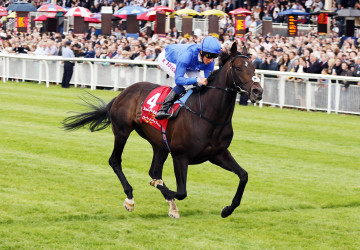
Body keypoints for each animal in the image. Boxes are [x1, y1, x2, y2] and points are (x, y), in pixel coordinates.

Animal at [63, 42, 262, 219]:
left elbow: (243, 176)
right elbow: (181, 192)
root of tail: (123, 92)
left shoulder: (218, 154)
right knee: (115, 161)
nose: (257, 91)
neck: (207, 115)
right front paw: (162, 191)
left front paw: (227, 209)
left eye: (253, 67)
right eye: (238, 68)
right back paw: (130, 198)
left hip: (159, 144)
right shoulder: (180, 156)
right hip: (122, 131)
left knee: (154, 170)